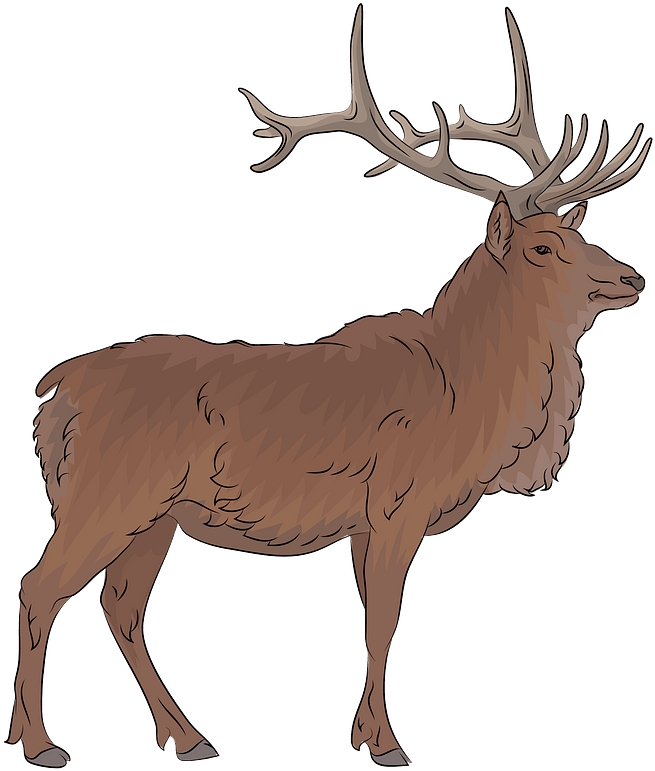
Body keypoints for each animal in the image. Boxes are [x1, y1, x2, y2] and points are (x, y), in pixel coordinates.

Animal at [6, 3, 649, 769]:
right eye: (543, 247)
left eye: (579, 234)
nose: (633, 278)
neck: (472, 399)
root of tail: (56, 391)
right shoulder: (398, 501)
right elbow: (386, 619)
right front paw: (388, 745)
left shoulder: (363, 521)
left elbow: (370, 616)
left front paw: (362, 735)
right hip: (107, 493)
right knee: (41, 587)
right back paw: (40, 743)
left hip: (153, 514)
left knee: (121, 605)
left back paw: (187, 737)